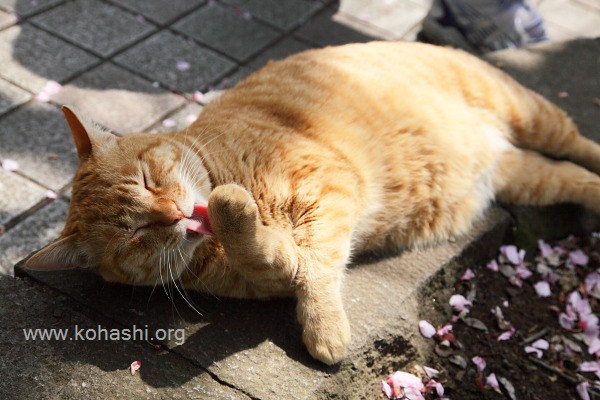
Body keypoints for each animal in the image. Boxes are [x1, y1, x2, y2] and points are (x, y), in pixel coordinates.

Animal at [24, 42, 600, 364]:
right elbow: (286, 262)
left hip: (532, 114)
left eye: (146, 180)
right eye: (136, 234)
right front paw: (248, 227)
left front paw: (326, 329)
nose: (176, 214)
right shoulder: (269, 271)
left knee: (579, 145)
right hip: (527, 177)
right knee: (572, 176)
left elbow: (319, 267)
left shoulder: (329, 187)